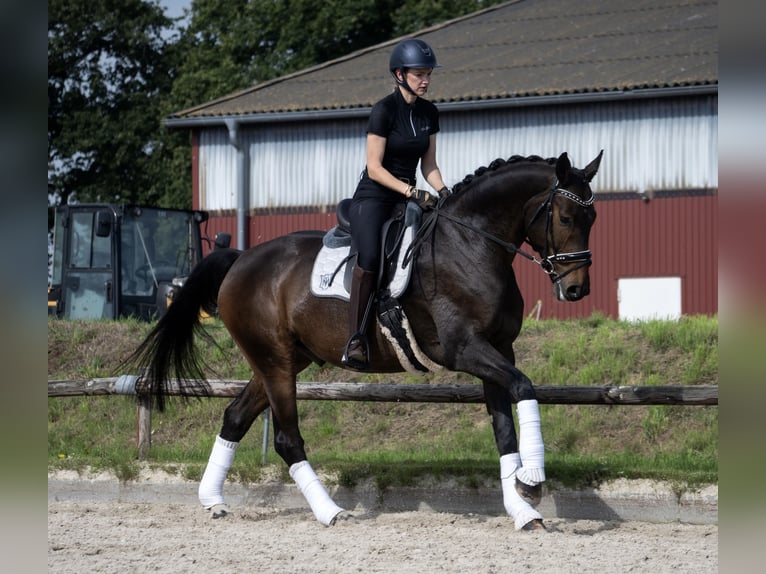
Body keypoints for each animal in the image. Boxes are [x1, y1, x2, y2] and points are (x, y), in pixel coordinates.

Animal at [126, 151, 603, 531]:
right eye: (564, 218)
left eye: (593, 219)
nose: (577, 289)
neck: (472, 243)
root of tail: (241, 259)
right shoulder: (465, 349)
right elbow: (524, 386)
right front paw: (532, 483)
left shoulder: (498, 350)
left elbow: (505, 429)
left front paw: (523, 510)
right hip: (275, 362)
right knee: (286, 439)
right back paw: (329, 511)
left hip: (282, 360)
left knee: (235, 416)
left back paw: (213, 501)